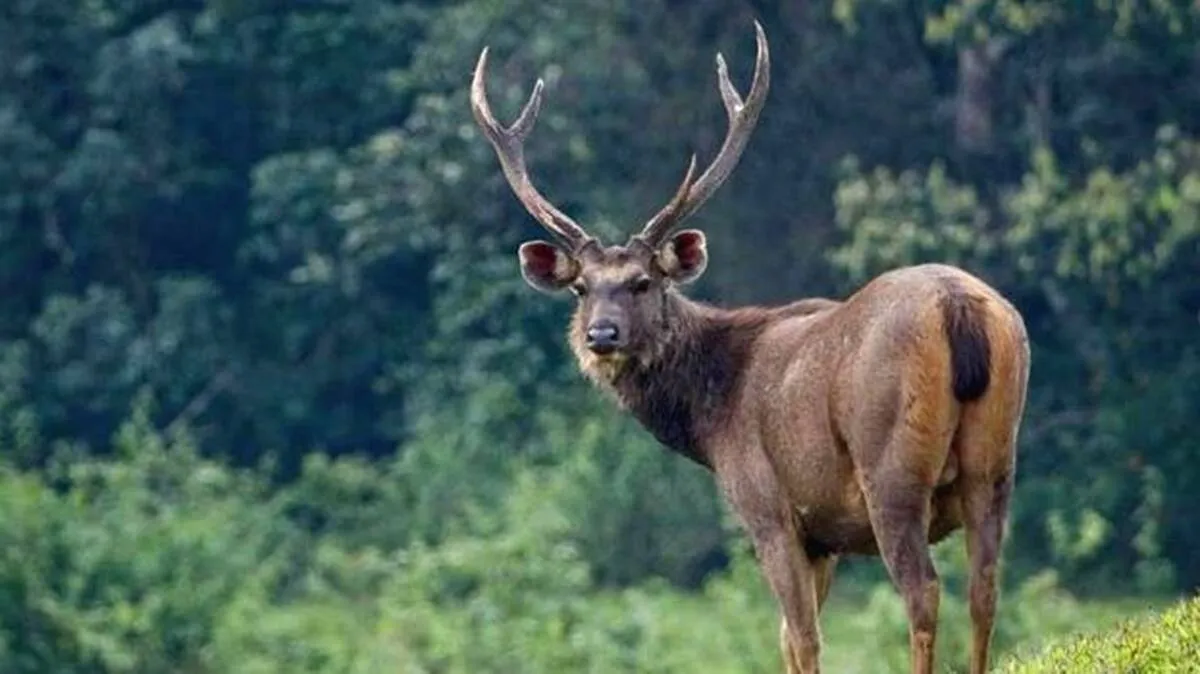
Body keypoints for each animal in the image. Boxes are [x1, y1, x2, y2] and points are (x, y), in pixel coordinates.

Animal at [470, 21, 1030, 674]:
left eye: (643, 282)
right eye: (581, 288)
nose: (601, 335)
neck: (712, 419)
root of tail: (957, 306)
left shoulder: (769, 508)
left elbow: (801, 635)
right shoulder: (824, 534)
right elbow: (789, 635)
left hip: (890, 467)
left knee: (923, 590)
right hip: (996, 457)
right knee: (985, 587)